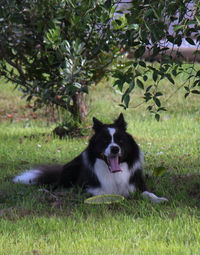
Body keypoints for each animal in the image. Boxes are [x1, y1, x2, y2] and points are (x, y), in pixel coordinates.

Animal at [12, 113, 167, 203]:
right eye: (105, 140)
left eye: (120, 140)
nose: (115, 148)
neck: (113, 174)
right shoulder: (87, 188)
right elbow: (102, 194)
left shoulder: (137, 186)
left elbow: (148, 193)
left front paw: (159, 199)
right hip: (70, 170)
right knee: (56, 185)